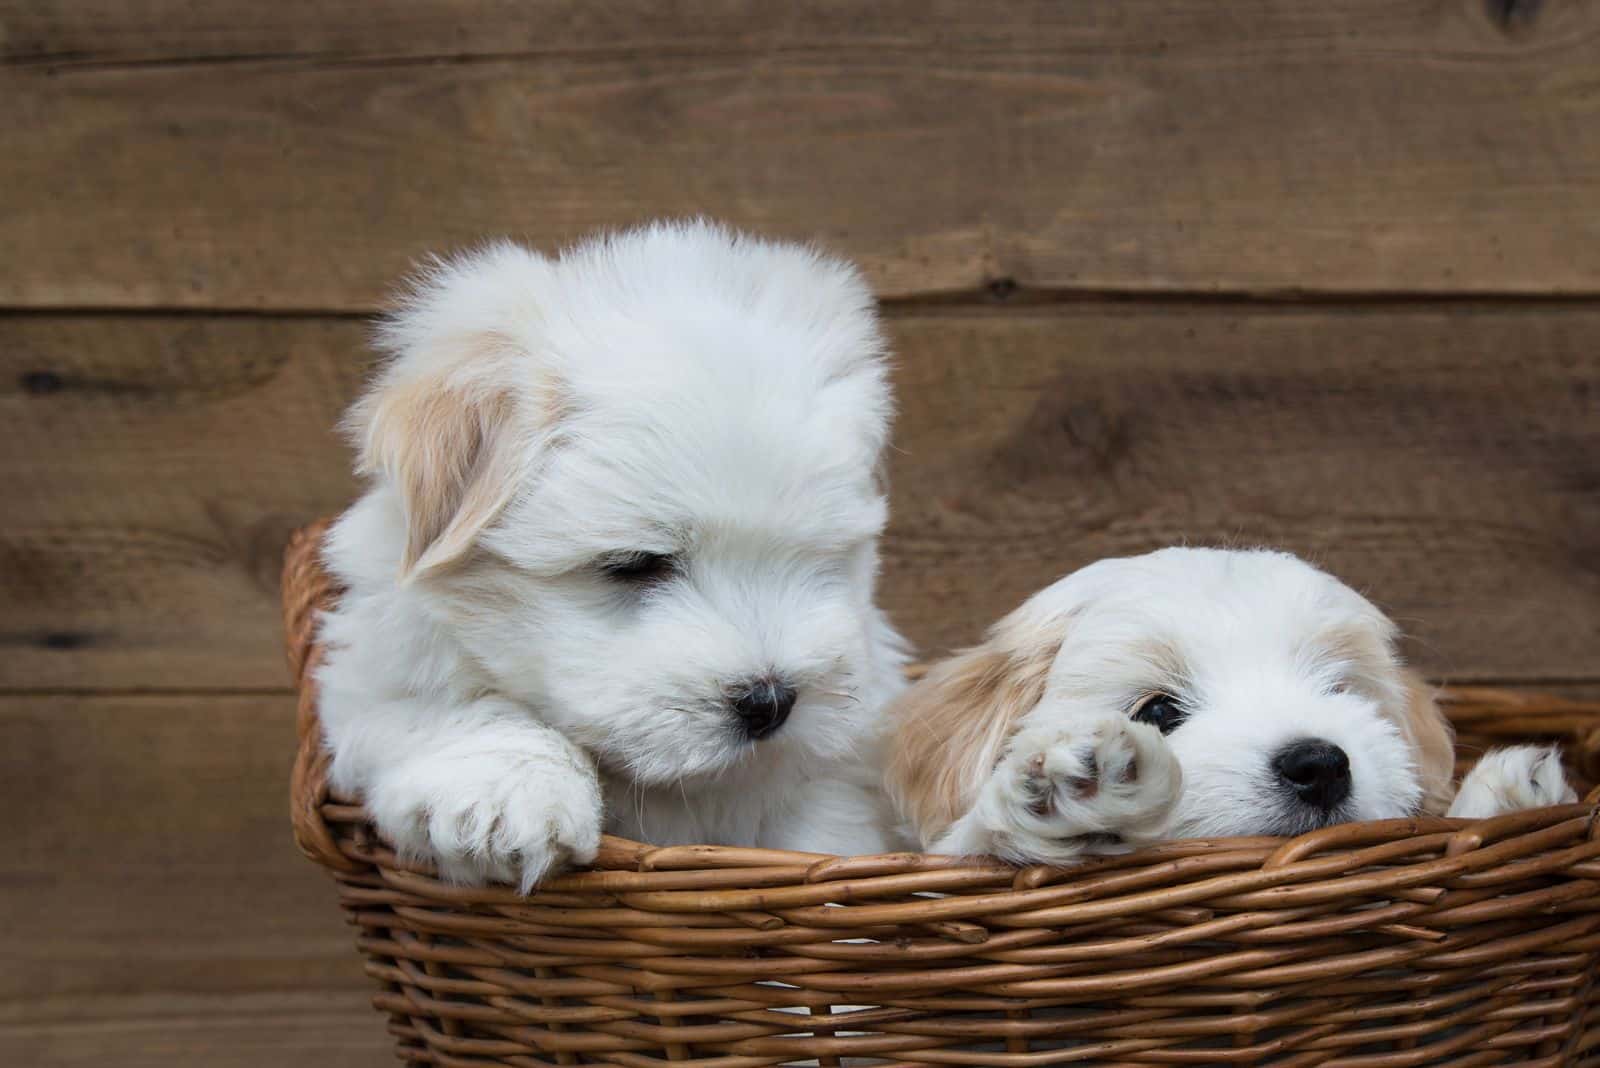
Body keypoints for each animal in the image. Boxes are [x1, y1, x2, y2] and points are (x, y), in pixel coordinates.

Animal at [316, 220, 908, 888]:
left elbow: (821, 831)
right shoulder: (379, 677)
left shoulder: (837, 773)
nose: (771, 702)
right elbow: (462, 705)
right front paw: (508, 796)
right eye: (636, 564)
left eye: (820, 555)